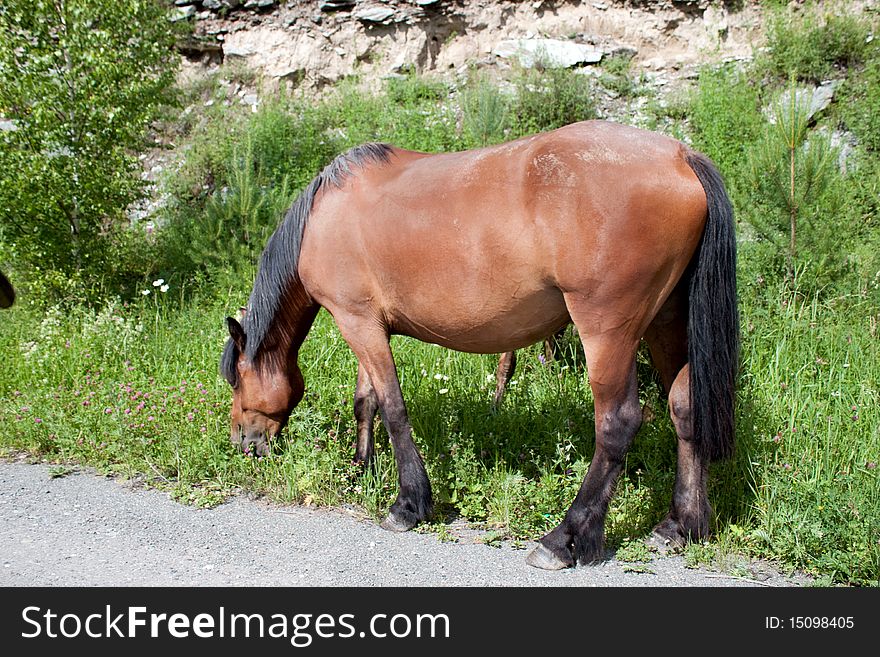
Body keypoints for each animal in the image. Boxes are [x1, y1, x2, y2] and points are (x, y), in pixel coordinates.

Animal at [220, 121, 736, 568]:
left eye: (237, 380)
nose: (243, 444)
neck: (321, 219)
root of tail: (680, 157)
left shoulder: (357, 323)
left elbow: (393, 409)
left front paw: (408, 503)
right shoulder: (367, 323)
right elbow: (366, 401)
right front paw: (361, 471)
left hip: (608, 332)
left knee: (618, 423)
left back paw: (565, 538)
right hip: (667, 322)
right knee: (685, 408)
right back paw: (680, 526)